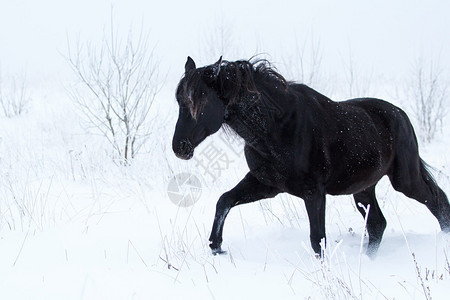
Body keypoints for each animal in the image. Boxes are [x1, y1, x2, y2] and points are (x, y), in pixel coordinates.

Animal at [172, 56, 450, 258]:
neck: (278, 127)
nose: (179, 148)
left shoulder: (313, 192)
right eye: (179, 102)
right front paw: (216, 246)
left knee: (438, 202)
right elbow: (224, 200)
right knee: (377, 225)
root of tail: (400, 114)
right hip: (363, 189)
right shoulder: (266, 184)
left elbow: (318, 239)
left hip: (405, 180)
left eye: (201, 100)